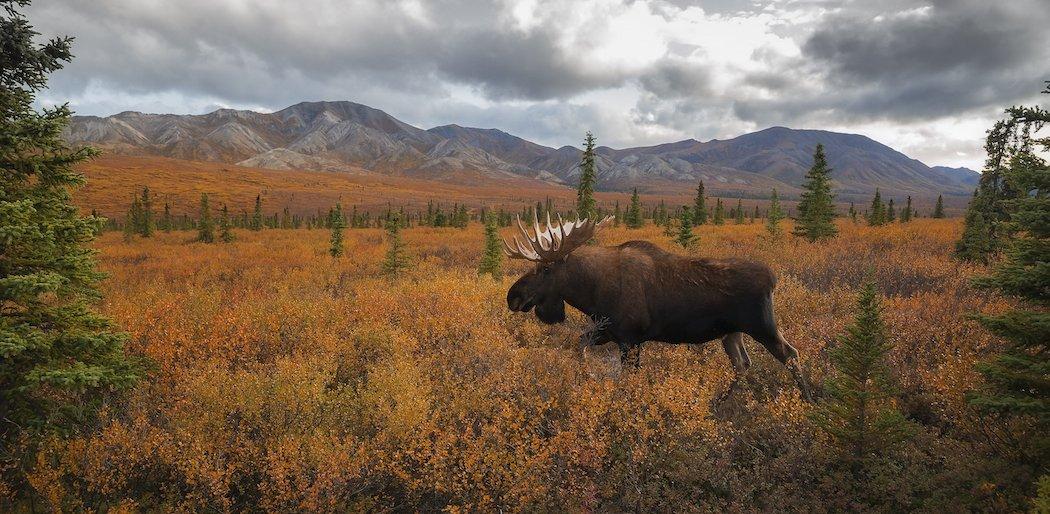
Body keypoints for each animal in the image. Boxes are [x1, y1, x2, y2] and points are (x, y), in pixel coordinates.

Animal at [499, 212, 810, 400]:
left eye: (545, 269)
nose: (512, 296)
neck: (592, 292)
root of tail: (773, 278)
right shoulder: (607, 331)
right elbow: (579, 344)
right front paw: (589, 377)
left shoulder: (630, 337)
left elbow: (627, 376)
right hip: (731, 333)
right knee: (742, 364)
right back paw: (722, 400)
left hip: (762, 325)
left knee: (790, 354)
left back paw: (808, 399)